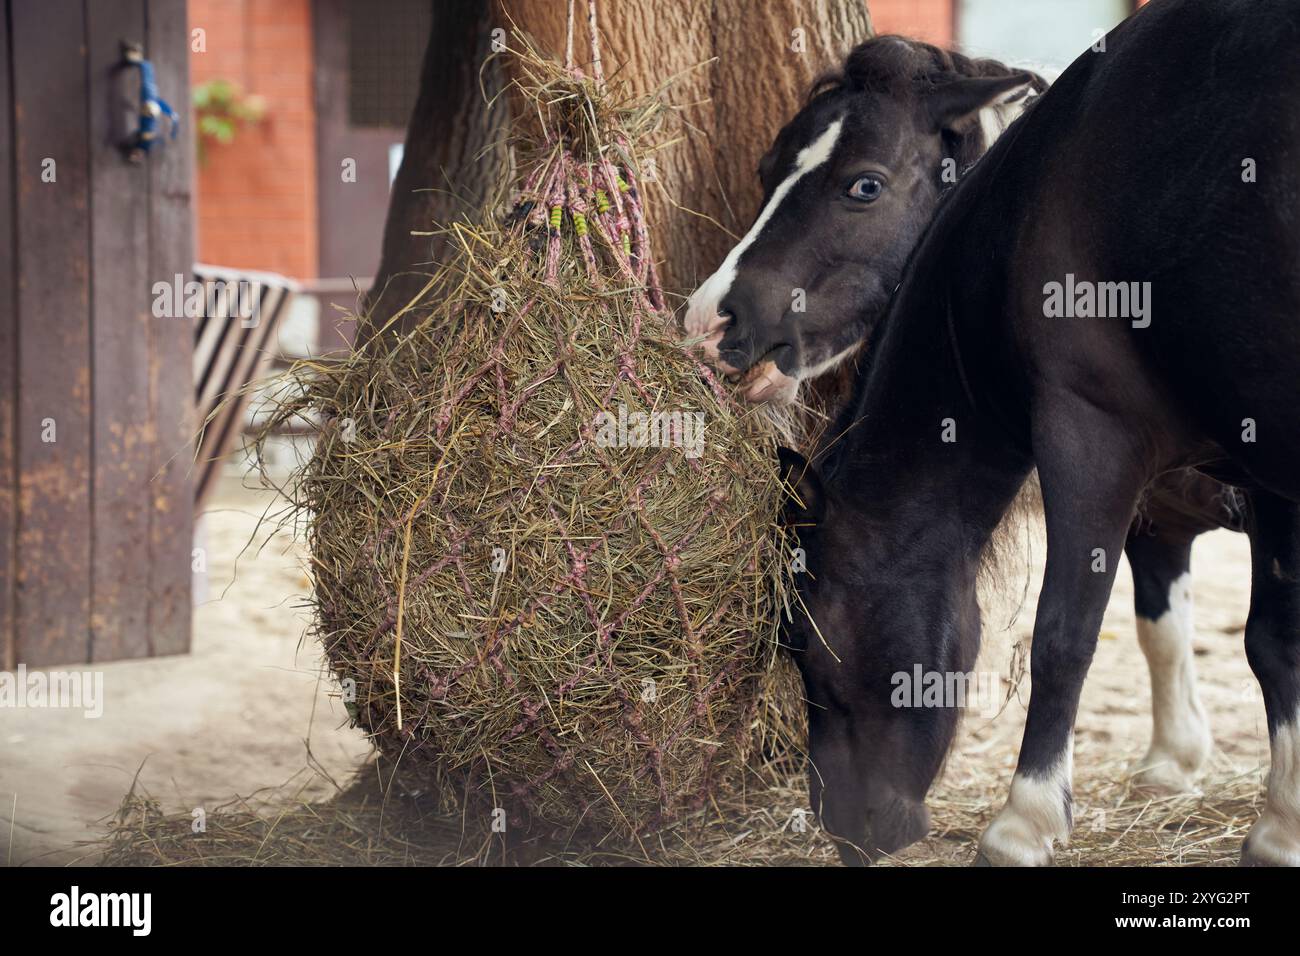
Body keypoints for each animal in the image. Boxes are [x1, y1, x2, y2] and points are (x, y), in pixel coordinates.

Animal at [696, 0, 1294, 868]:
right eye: (767, 171)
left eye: (863, 185)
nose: (710, 320)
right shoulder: (1184, 498)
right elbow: (1183, 629)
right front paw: (1193, 771)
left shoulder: (1114, 448)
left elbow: (1080, 636)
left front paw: (1026, 822)